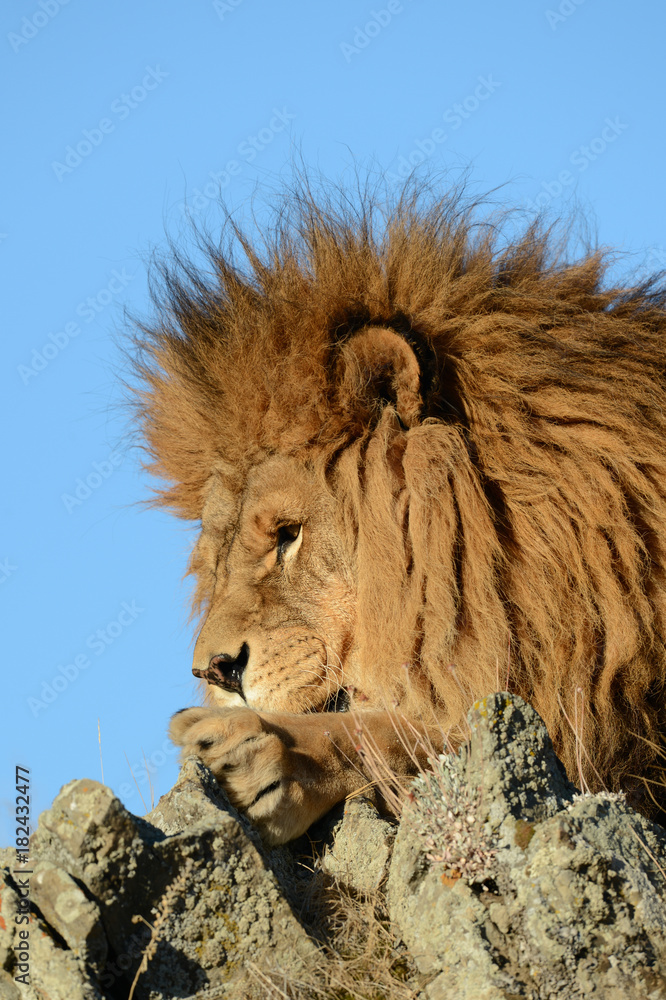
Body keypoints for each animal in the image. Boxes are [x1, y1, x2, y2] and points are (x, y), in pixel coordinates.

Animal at [131, 181, 666, 845]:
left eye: (287, 534)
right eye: (214, 563)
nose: (217, 673)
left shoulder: (582, 718)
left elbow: (407, 730)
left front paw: (259, 752)